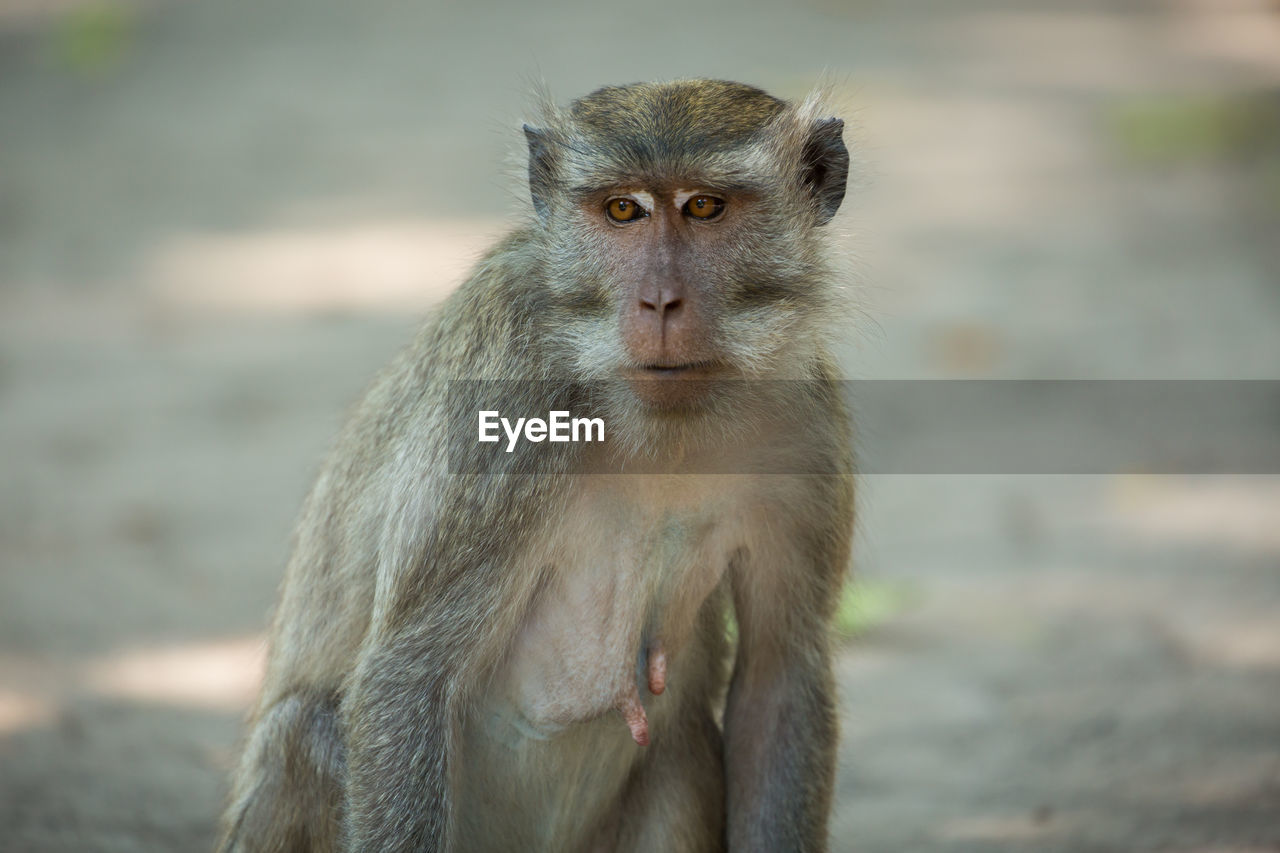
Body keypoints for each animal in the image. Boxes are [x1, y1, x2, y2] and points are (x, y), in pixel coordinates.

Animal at [221, 79, 855, 850]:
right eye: (623, 210)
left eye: (705, 207)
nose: (660, 301)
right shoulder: (506, 394)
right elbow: (408, 674)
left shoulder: (804, 429)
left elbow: (779, 670)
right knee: (306, 728)